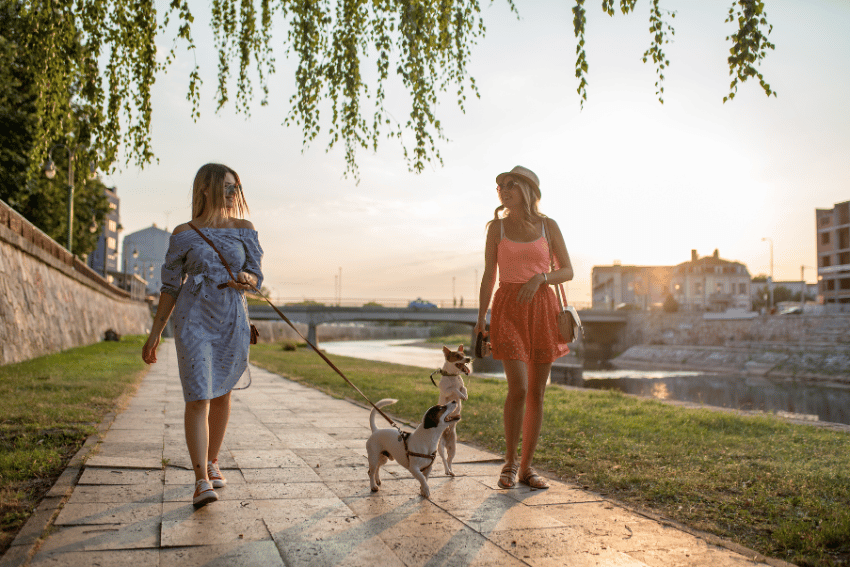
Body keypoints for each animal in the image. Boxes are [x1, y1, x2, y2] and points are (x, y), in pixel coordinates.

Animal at [434, 344, 468, 478]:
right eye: (458, 356)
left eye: (464, 354)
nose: (469, 359)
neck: (453, 376)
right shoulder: (447, 391)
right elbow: (454, 388)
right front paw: (460, 395)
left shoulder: (462, 385)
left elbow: (463, 388)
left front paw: (464, 395)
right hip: (441, 447)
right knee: (444, 459)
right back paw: (447, 471)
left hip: (453, 447)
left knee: (450, 460)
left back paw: (451, 471)